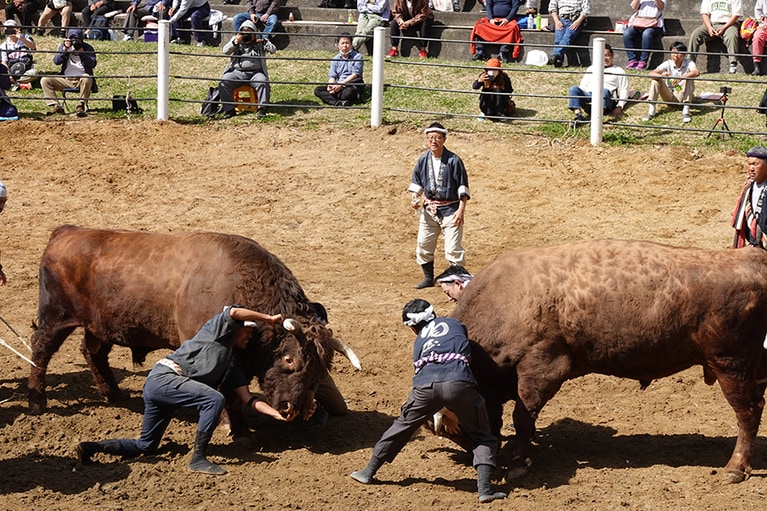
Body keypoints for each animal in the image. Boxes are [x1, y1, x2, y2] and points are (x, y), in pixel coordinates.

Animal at [26, 226, 356, 422]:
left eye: (321, 368)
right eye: (289, 359)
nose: (293, 408)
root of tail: (66, 232)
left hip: (100, 327)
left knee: (93, 353)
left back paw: (113, 394)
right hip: (55, 318)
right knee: (40, 352)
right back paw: (37, 402)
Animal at [452, 240, 767, 484]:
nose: (472, 456)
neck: (509, 299)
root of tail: (751, 257)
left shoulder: (541, 369)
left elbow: (523, 417)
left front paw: (519, 464)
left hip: (731, 365)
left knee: (748, 412)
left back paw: (735, 467)